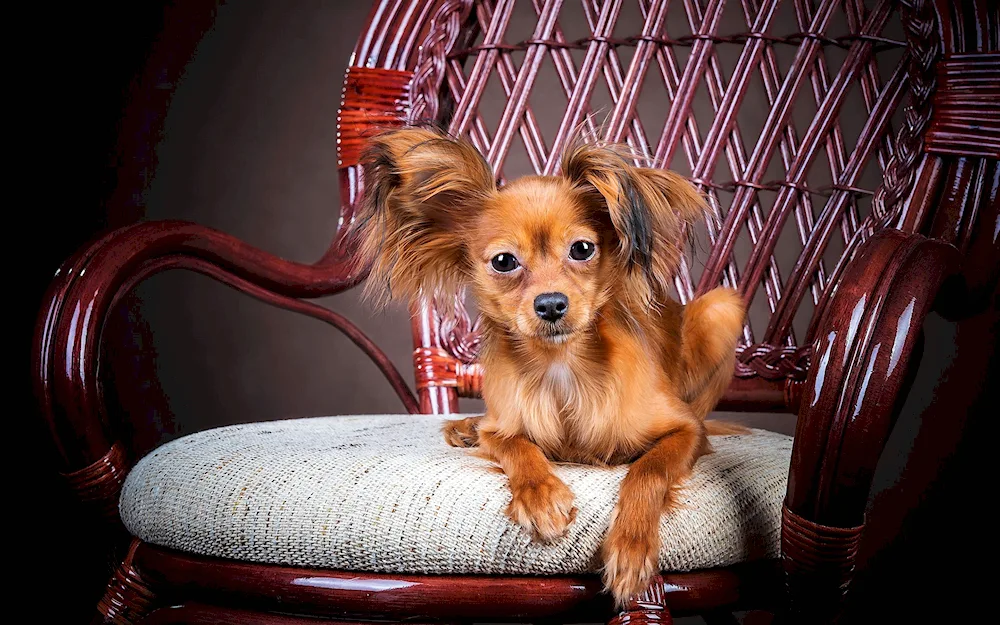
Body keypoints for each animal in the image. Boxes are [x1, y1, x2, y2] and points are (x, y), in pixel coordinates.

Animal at [356, 125, 748, 604]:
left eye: (582, 249)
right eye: (504, 261)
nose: (551, 305)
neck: (561, 364)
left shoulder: (687, 431)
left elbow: (648, 470)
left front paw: (632, 548)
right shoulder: (505, 426)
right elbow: (516, 446)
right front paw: (540, 494)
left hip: (721, 307)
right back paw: (466, 427)